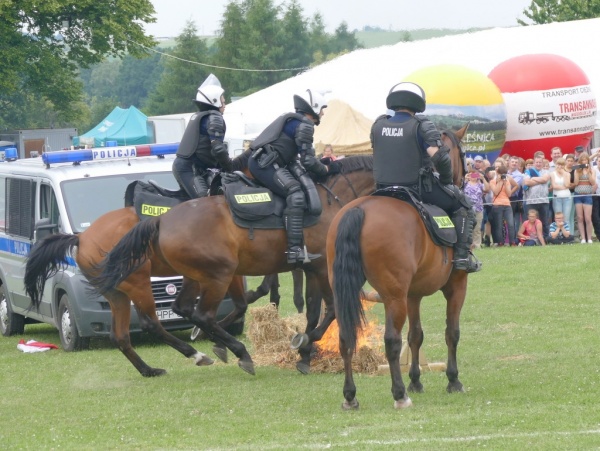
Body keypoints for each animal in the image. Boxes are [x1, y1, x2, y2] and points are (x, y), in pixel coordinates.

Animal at [88, 155, 376, 374]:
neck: (329, 200)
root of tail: (160, 220)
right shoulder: (318, 268)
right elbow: (329, 309)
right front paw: (306, 346)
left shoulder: (309, 269)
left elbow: (313, 310)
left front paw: (306, 351)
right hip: (209, 276)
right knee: (192, 316)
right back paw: (233, 352)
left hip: (162, 285)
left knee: (163, 316)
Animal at [326, 125, 472, 412]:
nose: (461, 182)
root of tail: (359, 209)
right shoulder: (456, 286)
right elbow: (452, 333)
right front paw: (453, 380)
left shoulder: (412, 295)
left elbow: (416, 335)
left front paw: (416, 379)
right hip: (393, 297)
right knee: (391, 340)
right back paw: (400, 394)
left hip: (343, 292)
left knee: (346, 338)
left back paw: (350, 396)